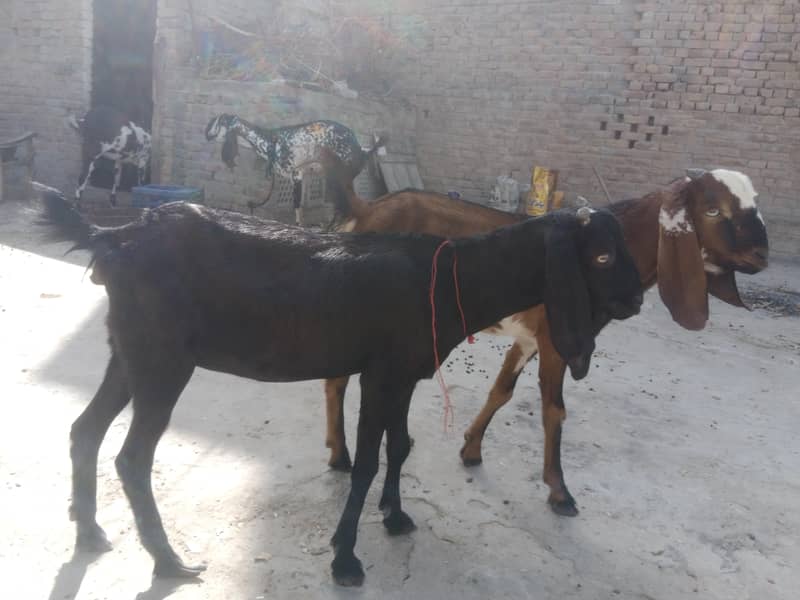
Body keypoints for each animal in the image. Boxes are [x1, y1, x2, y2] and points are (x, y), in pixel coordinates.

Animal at [39, 183, 642, 586]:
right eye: (602, 255)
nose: (636, 299)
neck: (447, 281)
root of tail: (114, 237)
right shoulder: (382, 373)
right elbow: (369, 461)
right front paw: (346, 557)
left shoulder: (402, 373)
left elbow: (401, 446)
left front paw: (395, 517)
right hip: (163, 359)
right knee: (132, 457)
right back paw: (169, 561)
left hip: (129, 352)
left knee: (83, 428)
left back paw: (90, 532)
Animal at [204, 114, 386, 225]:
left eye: (217, 121)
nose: (206, 134)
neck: (268, 141)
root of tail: (362, 149)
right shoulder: (297, 176)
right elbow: (298, 206)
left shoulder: (296, 175)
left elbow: (296, 206)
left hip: (339, 177)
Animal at [323, 168, 769, 516]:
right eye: (713, 209)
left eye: (754, 204)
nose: (761, 255)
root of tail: (366, 210)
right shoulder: (558, 339)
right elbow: (554, 410)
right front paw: (559, 491)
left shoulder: (530, 338)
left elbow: (502, 390)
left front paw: (471, 449)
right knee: (337, 378)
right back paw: (340, 454)